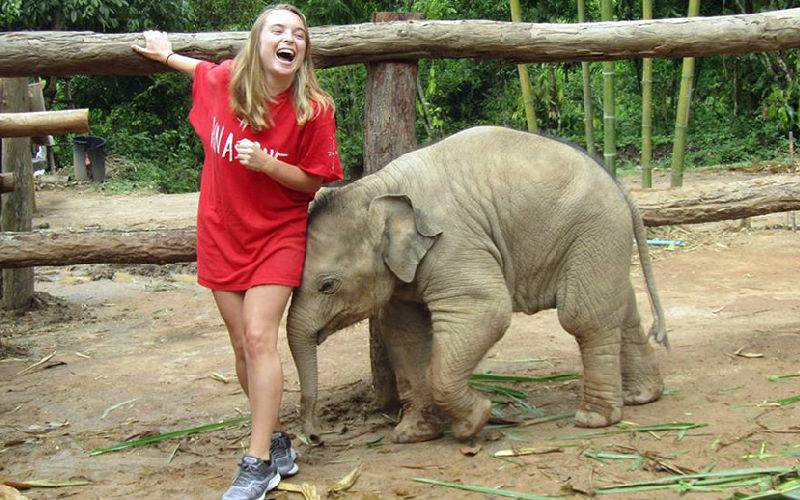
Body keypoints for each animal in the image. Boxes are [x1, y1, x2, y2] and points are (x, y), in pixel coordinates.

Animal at [287, 126, 668, 444]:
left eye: (328, 285)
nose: (317, 437)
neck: (374, 188)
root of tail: (619, 186)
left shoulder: (453, 243)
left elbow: (486, 310)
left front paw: (475, 423)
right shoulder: (402, 272)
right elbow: (404, 333)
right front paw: (412, 435)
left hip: (592, 231)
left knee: (584, 317)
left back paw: (594, 419)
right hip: (602, 240)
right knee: (622, 309)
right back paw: (642, 396)